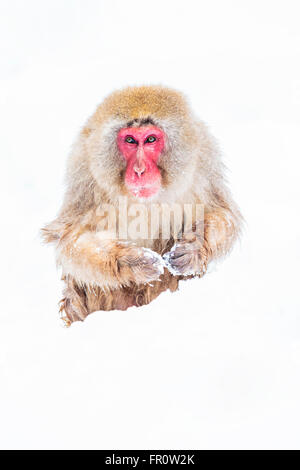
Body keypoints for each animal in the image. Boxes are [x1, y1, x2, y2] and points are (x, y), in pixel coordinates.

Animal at [41, 86, 243, 324]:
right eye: (130, 140)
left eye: (150, 139)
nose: (139, 170)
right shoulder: (83, 172)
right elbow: (70, 237)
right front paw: (131, 261)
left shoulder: (205, 159)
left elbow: (222, 213)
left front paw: (194, 246)